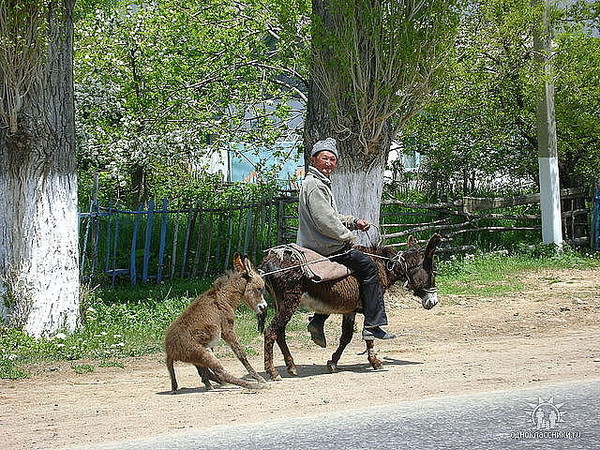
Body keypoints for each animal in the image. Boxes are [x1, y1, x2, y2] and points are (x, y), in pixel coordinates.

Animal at [164, 253, 268, 390]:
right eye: (259, 288)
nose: (264, 307)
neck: (224, 298)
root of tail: (169, 351)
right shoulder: (227, 330)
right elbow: (241, 354)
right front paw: (259, 378)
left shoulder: (212, 341)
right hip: (203, 353)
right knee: (220, 372)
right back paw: (254, 385)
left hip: (200, 356)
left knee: (205, 371)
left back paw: (211, 384)